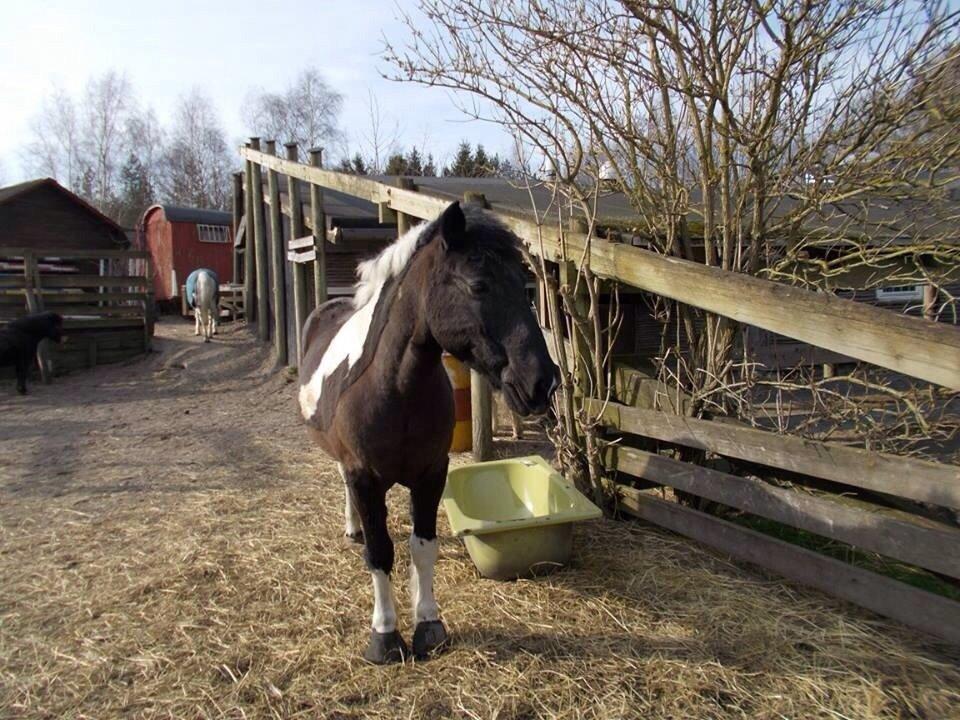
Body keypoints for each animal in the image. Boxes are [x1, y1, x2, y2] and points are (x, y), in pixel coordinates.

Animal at [298, 201, 559, 664]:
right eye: (478, 284)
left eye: (525, 286)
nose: (542, 382)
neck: (395, 391)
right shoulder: (364, 477)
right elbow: (380, 551)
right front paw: (384, 636)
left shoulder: (431, 475)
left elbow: (422, 547)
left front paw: (428, 624)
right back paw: (353, 528)